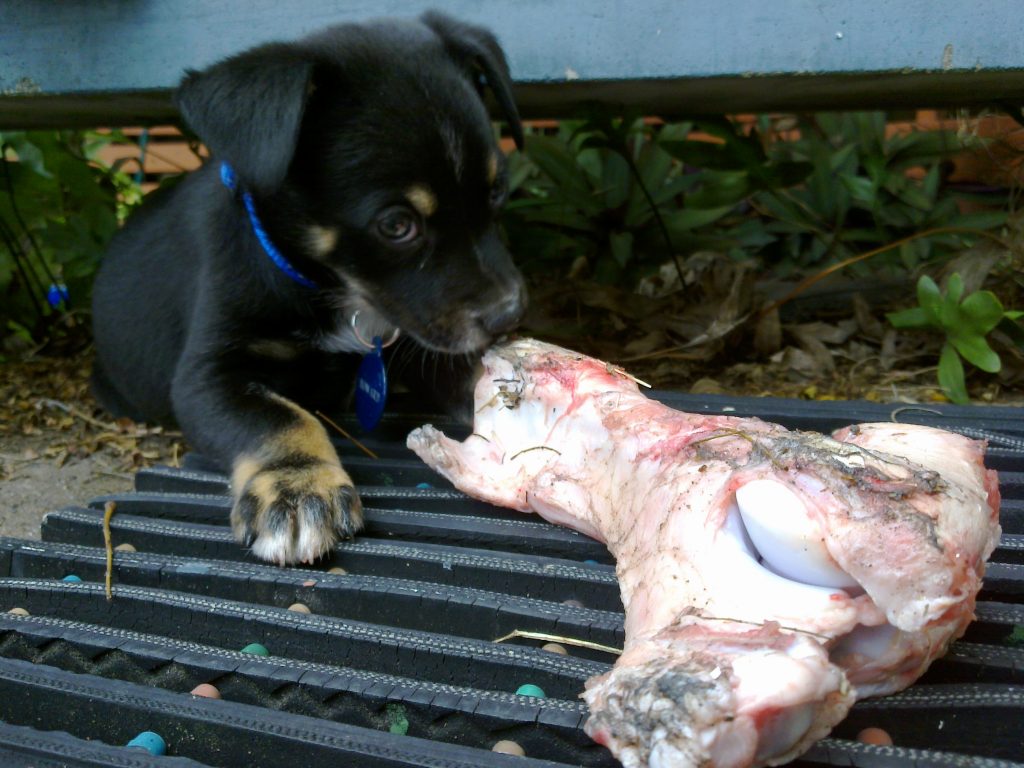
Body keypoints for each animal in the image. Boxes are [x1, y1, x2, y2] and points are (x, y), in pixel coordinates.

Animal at [92, 10, 528, 565]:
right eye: (396, 225)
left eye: (496, 190)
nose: (508, 314)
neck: (331, 288)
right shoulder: (208, 375)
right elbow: (279, 418)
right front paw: (297, 489)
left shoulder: (415, 332)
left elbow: (470, 375)